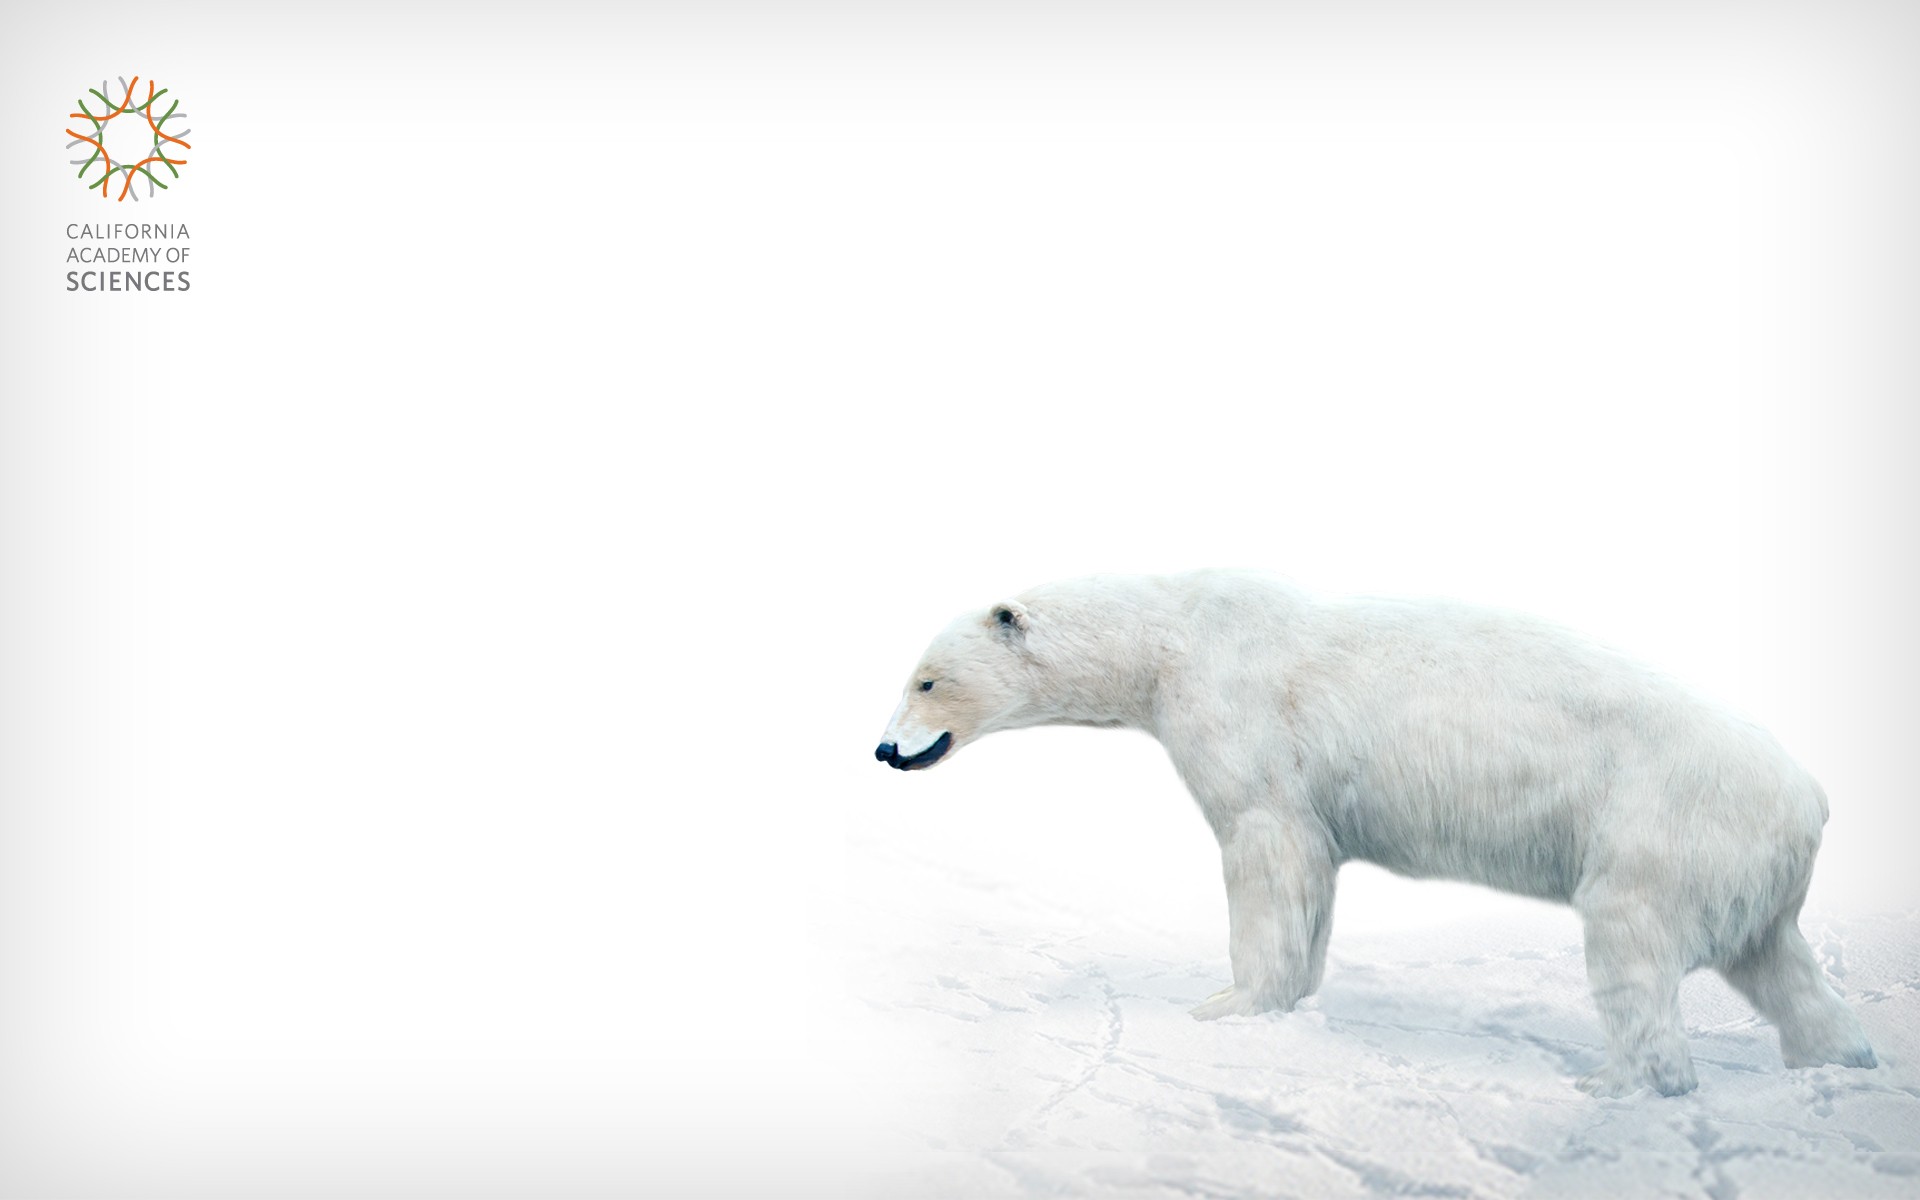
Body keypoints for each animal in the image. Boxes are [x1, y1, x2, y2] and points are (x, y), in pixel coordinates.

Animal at [873, 570, 1877, 1097]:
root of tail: (1812, 799)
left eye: (927, 679)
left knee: (1634, 944)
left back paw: (1620, 1081)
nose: (885, 748)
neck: (1173, 639)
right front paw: (1296, 994)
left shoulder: (1242, 721)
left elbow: (1266, 847)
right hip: (1742, 867)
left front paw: (1230, 1004)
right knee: (1777, 962)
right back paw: (1844, 1056)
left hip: (1660, 822)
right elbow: (1313, 868)